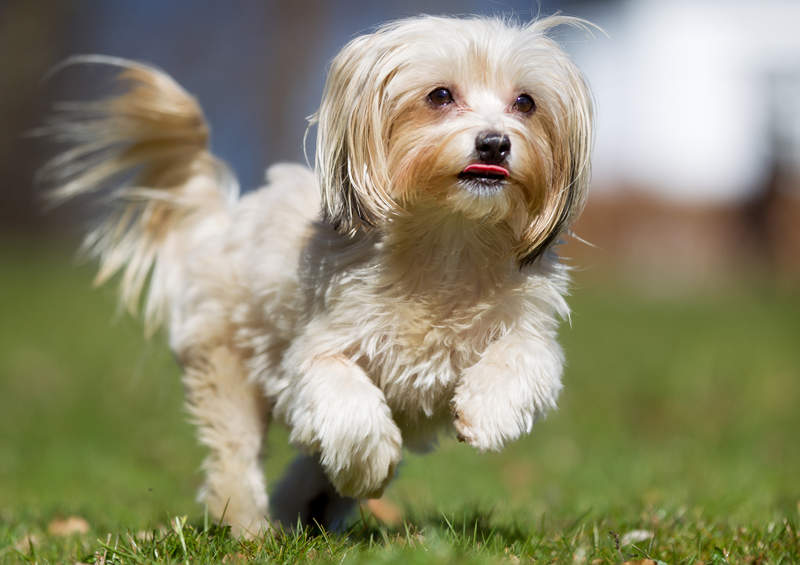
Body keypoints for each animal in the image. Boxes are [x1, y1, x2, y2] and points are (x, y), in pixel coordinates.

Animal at [42, 15, 592, 536]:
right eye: (440, 95)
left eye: (525, 102)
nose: (495, 143)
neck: (449, 244)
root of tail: (223, 223)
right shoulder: (314, 355)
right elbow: (347, 405)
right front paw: (372, 463)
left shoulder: (527, 325)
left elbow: (525, 358)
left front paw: (488, 412)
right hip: (227, 365)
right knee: (236, 456)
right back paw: (252, 528)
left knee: (309, 467)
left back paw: (307, 507)